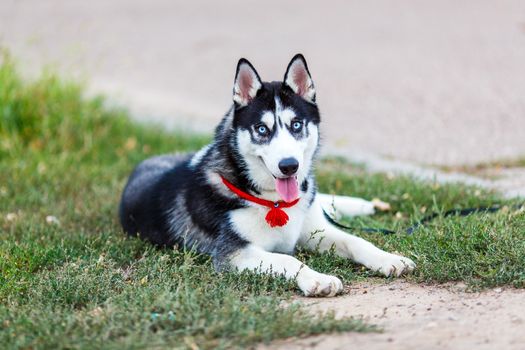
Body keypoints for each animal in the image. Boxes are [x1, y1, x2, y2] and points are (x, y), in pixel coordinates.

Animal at [118, 54, 414, 296]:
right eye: (262, 129)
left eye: (296, 125)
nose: (289, 165)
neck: (275, 201)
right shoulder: (234, 254)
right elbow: (288, 259)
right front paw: (317, 279)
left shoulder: (313, 230)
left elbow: (357, 241)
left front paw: (389, 259)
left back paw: (362, 204)